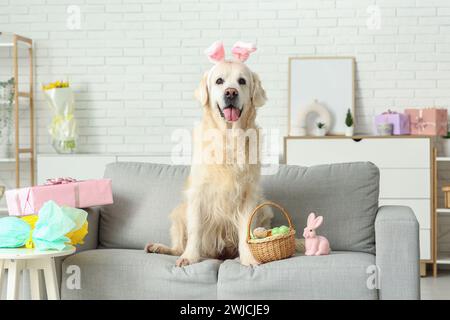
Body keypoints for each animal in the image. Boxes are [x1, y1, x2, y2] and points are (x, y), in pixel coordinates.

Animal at [145, 43, 270, 266]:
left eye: (242, 81)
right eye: (219, 81)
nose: (231, 92)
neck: (228, 138)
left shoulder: (249, 196)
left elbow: (245, 233)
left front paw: (248, 259)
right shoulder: (197, 194)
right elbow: (195, 231)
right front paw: (189, 258)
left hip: (263, 209)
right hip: (179, 211)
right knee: (178, 246)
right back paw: (161, 248)